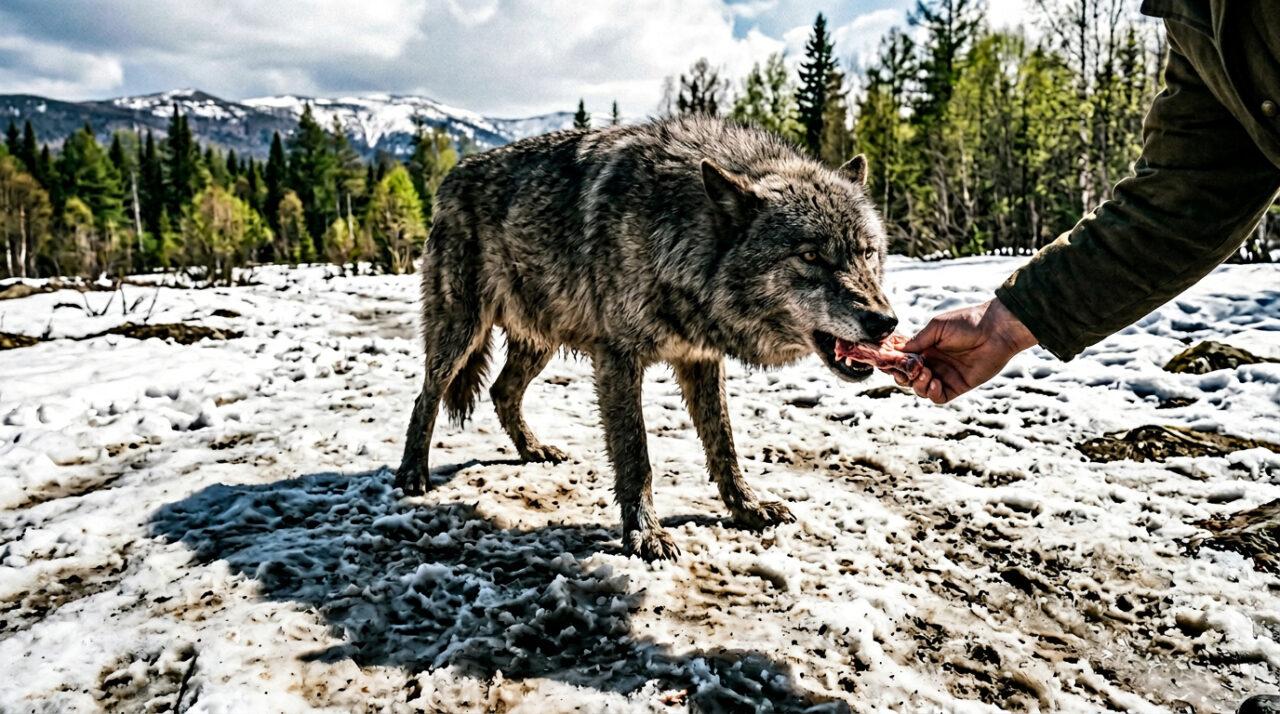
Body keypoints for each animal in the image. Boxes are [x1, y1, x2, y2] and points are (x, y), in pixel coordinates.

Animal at [396, 115, 897, 560]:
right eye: (810, 256)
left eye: (867, 253)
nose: (885, 323)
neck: (677, 244)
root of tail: (453, 174)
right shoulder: (617, 360)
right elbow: (636, 456)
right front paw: (644, 534)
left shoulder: (701, 358)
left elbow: (724, 446)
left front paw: (746, 508)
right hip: (460, 332)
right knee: (427, 395)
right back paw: (412, 474)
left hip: (540, 340)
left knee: (502, 391)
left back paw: (533, 450)